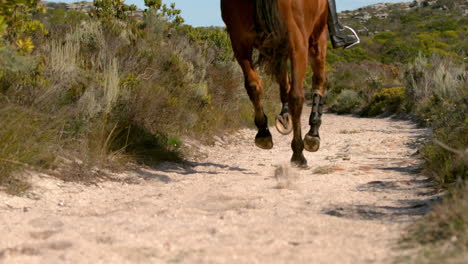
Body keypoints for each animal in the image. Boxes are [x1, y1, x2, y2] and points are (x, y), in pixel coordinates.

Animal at [221, 0, 328, 167]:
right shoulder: (316, 37)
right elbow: (317, 82)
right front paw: (313, 134)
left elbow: (282, 81)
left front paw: (284, 117)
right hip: (300, 43)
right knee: (298, 95)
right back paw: (299, 153)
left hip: (240, 42)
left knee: (254, 86)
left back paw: (264, 134)